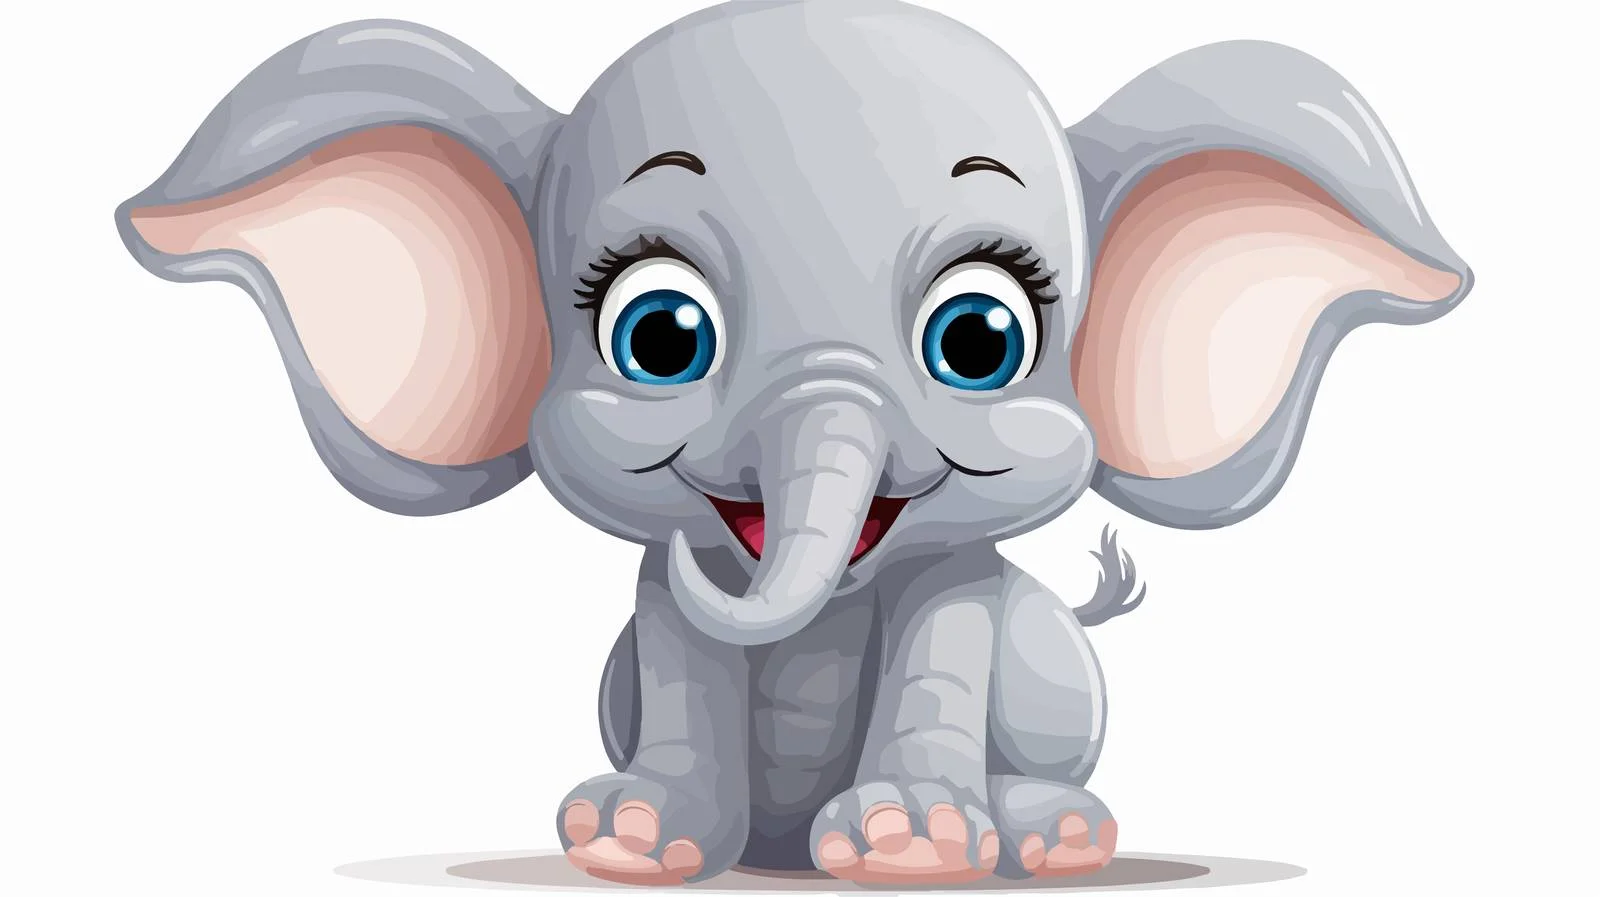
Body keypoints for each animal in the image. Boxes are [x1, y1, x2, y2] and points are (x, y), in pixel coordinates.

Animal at [114, 0, 1471, 886]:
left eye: (979, 339)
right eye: (659, 335)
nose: (746, 543)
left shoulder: (961, 585)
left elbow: (945, 628)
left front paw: (910, 845)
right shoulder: (654, 607)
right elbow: (674, 644)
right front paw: (631, 839)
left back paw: (1056, 840)